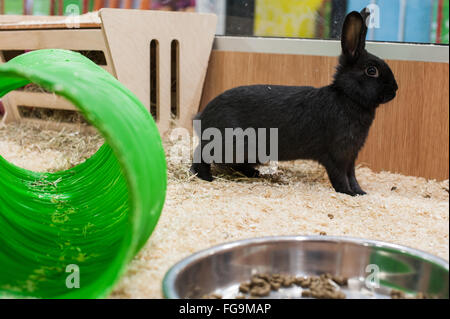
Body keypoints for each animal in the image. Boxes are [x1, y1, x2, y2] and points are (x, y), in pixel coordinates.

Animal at [190, 8, 398, 196]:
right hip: (230, 145)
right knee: (201, 154)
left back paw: (254, 174)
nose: (395, 90)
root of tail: (203, 116)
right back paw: (205, 177)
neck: (347, 97)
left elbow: (352, 176)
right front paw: (348, 193)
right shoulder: (337, 155)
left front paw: (360, 192)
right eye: (371, 71)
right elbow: (340, 176)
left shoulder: (351, 157)